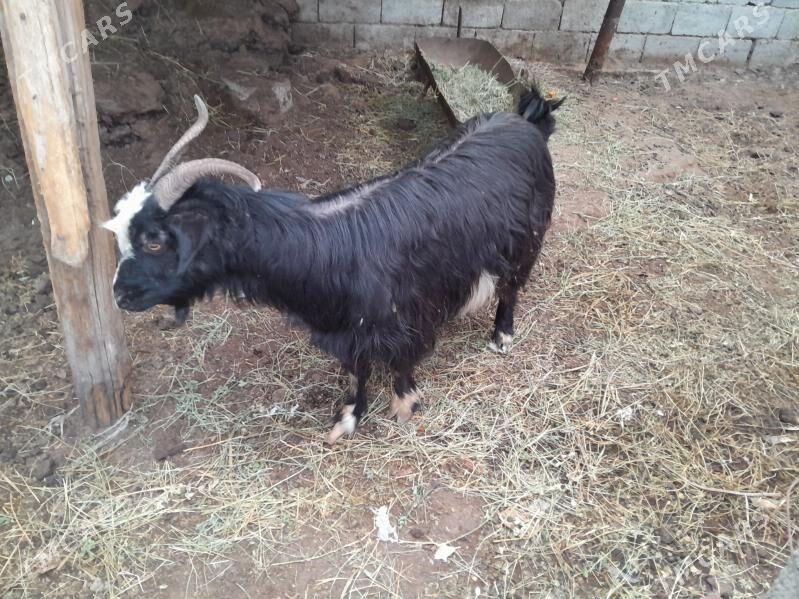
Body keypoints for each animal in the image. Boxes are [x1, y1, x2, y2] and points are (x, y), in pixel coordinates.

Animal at [104, 86, 564, 443]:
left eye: (155, 240)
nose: (120, 296)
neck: (327, 250)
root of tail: (525, 120)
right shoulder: (346, 326)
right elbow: (357, 370)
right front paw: (348, 419)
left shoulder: (404, 314)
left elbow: (401, 360)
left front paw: (405, 404)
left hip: (527, 237)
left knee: (511, 287)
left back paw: (501, 336)